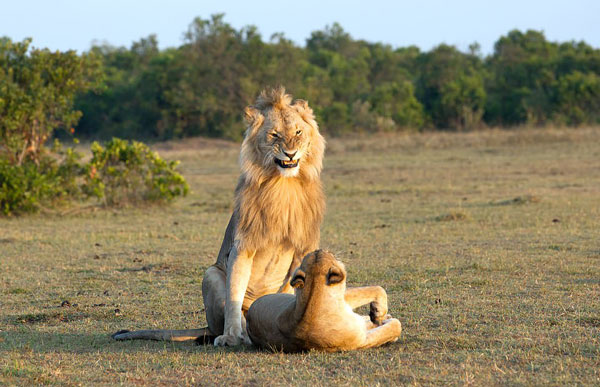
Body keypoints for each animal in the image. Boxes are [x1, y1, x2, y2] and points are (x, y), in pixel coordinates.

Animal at [114, 87, 326, 346]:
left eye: (298, 132)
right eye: (274, 135)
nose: (290, 152)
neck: (283, 186)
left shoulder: (304, 247)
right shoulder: (242, 245)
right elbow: (234, 293)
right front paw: (232, 336)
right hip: (211, 273)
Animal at [246, 250, 400, 354]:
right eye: (330, 255)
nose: (320, 249)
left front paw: (378, 316)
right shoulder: (360, 340)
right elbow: (394, 326)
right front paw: (382, 317)